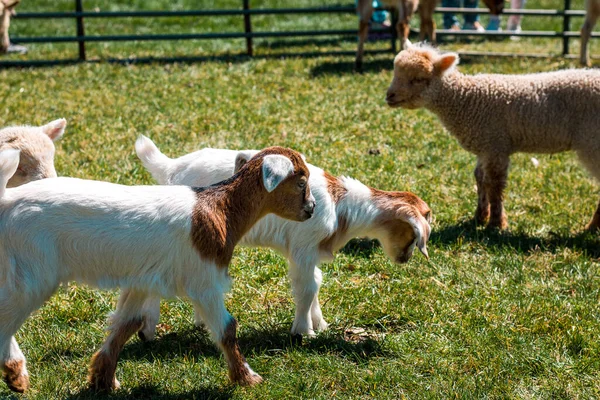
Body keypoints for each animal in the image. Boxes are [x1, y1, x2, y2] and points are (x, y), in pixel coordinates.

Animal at [0, 145, 316, 392]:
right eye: (301, 182)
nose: (311, 208)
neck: (219, 209)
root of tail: (7, 201)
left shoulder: (141, 281)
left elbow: (127, 324)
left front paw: (103, 380)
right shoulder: (204, 281)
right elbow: (227, 327)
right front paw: (247, 378)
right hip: (31, 273)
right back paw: (15, 372)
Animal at [112, 136, 432, 342]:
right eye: (417, 230)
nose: (405, 259)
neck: (341, 204)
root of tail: (171, 168)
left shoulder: (308, 252)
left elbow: (316, 281)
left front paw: (320, 323)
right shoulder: (303, 247)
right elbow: (307, 287)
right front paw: (304, 331)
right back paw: (148, 331)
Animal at [386, 43, 600, 231]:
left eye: (418, 78)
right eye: (395, 73)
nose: (389, 96)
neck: (467, 99)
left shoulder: (496, 144)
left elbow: (495, 183)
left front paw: (496, 223)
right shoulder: (485, 146)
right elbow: (480, 179)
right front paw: (479, 217)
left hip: (592, 142)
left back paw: (591, 227)